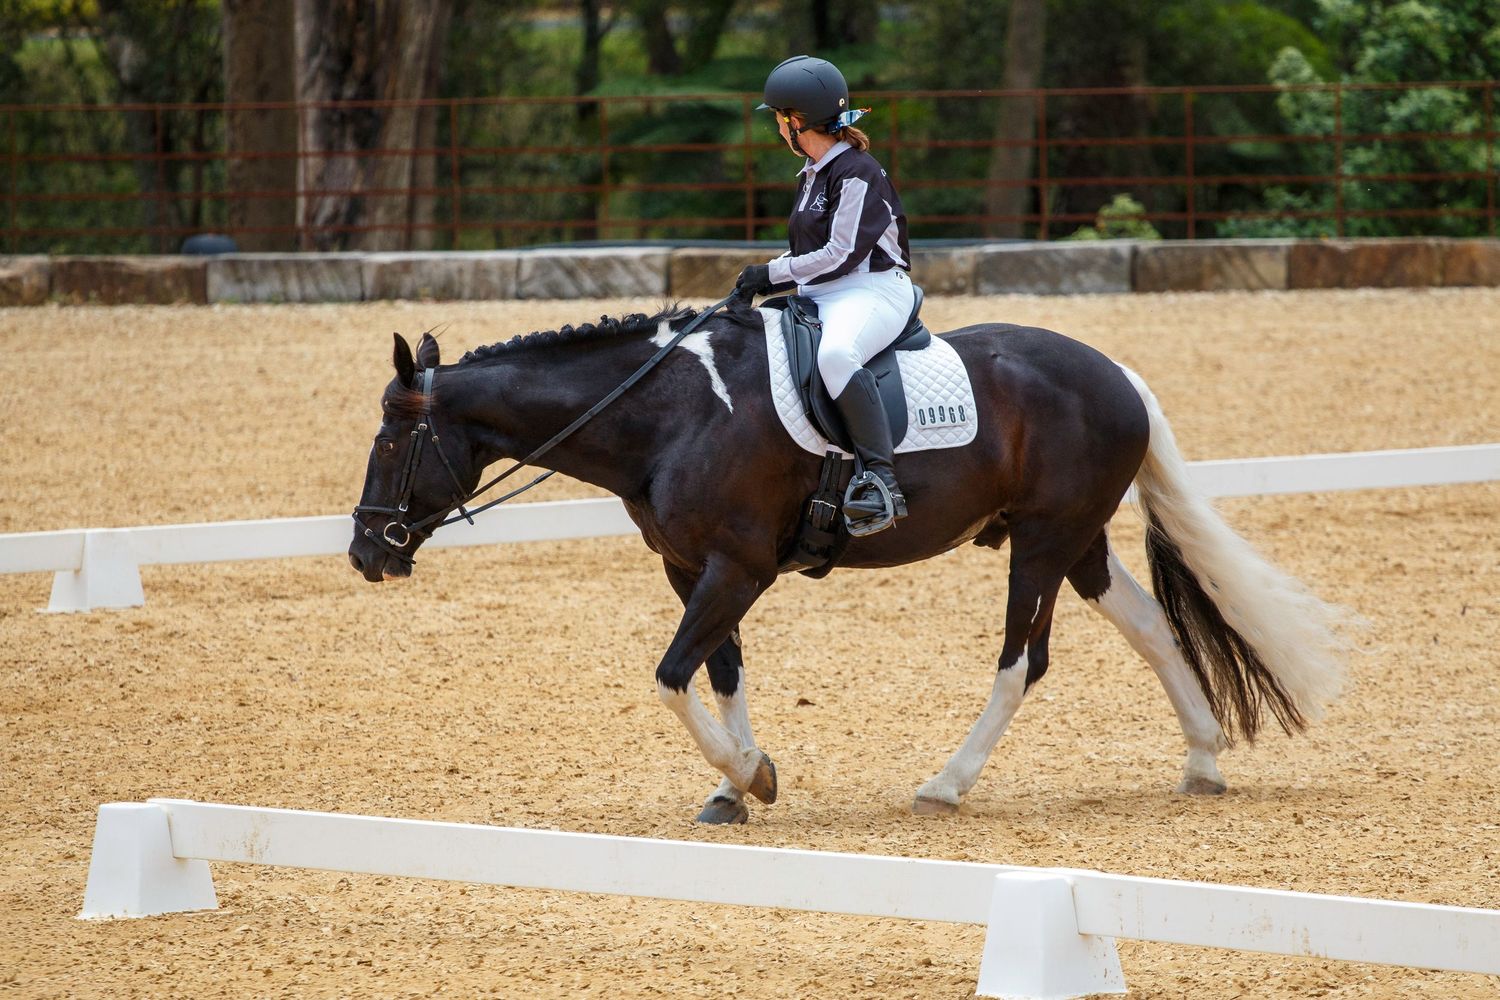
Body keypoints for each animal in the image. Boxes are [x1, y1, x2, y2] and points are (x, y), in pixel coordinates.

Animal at [348, 297, 1348, 824]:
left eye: (392, 442)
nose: (365, 552)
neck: (671, 414)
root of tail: (1114, 372)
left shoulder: (737, 567)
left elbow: (671, 675)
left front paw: (750, 775)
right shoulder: (693, 568)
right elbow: (719, 671)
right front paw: (735, 786)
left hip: (1042, 543)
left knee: (1022, 661)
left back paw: (946, 783)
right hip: (1076, 540)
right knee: (1149, 629)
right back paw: (1204, 761)